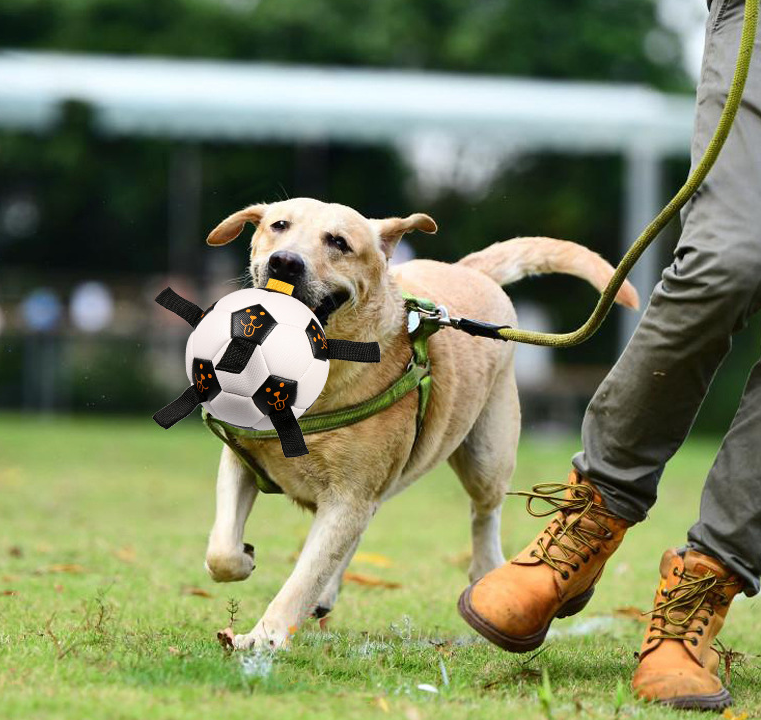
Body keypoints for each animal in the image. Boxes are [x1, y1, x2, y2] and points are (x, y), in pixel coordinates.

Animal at [202, 198, 636, 652]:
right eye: (279, 225)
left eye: (339, 242)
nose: (284, 262)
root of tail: (470, 270)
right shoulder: (241, 459)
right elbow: (222, 550)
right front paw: (244, 559)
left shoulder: (350, 497)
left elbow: (303, 577)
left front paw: (264, 637)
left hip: (486, 455)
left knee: (485, 513)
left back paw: (486, 570)